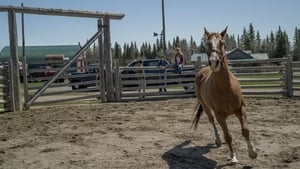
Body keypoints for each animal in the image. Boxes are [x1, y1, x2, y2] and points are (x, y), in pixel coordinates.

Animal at [192, 26, 258, 162]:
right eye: (207, 44)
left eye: (223, 44)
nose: (214, 62)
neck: (225, 88)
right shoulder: (219, 115)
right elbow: (228, 136)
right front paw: (233, 156)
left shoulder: (241, 109)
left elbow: (245, 130)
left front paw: (252, 152)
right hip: (206, 107)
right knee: (212, 121)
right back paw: (218, 140)